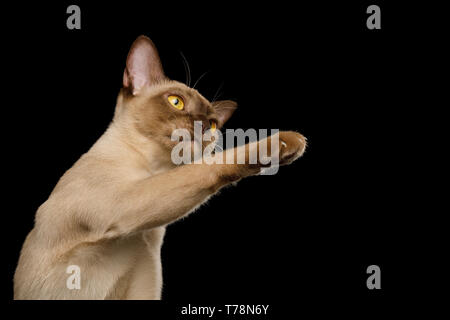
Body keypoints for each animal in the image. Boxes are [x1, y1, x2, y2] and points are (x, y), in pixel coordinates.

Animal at [13, 35, 306, 300]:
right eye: (176, 101)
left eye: (213, 124)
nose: (203, 126)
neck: (156, 167)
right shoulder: (123, 201)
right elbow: (205, 167)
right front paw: (286, 142)